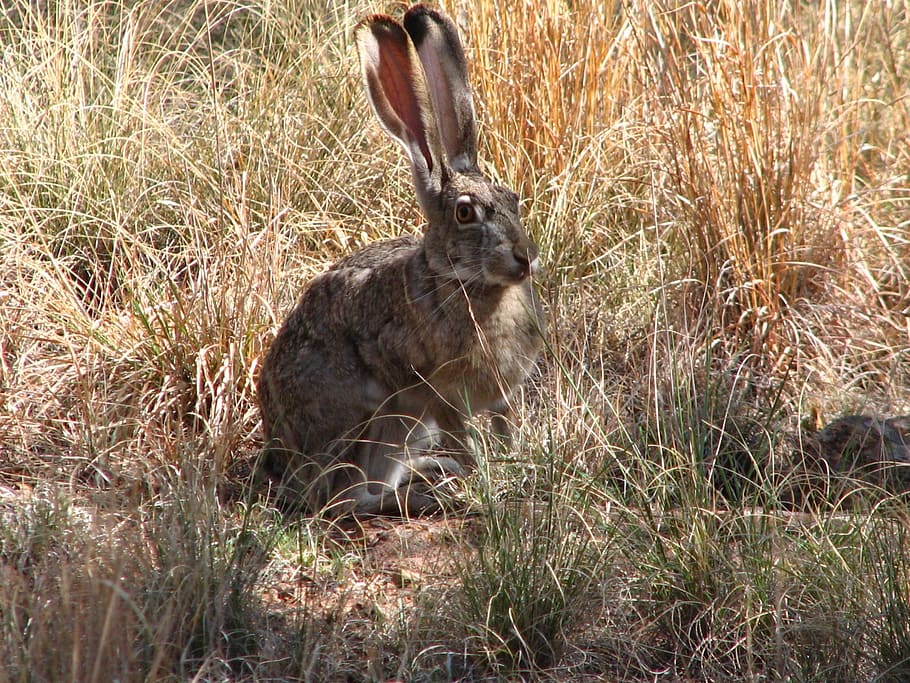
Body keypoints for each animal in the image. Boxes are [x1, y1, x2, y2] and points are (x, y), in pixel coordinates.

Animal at [256, 4, 545, 516]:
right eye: (465, 213)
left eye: (514, 199)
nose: (524, 259)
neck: (467, 285)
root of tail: (284, 458)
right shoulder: (434, 392)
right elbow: (463, 438)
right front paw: (483, 478)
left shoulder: (500, 397)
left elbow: (504, 430)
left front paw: (515, 461)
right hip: (368, 420)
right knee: (342, 499)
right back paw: (424, 493)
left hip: (401, 427)